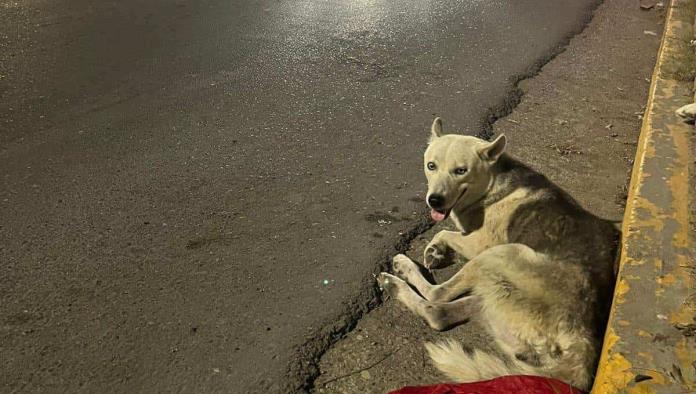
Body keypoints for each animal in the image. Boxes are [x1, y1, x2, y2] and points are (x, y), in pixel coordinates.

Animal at [378, 117, 616, 390]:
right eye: (431, 166)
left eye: (461, 171)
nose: (434, 200)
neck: (492, 185)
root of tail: (581, 343)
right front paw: (437, 252)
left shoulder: (478, 244)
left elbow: (444, 232)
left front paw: (435, 248)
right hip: (492, 295)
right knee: (437, 314)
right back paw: (395, 285)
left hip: (500, 254)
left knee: (438, 294)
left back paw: (400, 272)